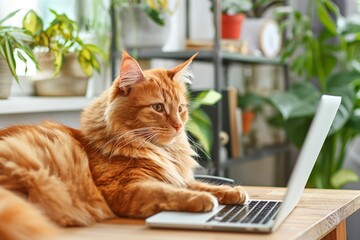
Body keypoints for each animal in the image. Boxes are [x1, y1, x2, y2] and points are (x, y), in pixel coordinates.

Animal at [0, 51, 248, 240]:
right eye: (158, 107)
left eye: (180, 109)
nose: (178, 125)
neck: (161, 151)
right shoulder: (125, 189)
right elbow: (172, 192)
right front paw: (204, 200)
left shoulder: (174, 175)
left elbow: (202, 184)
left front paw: (233, 192)